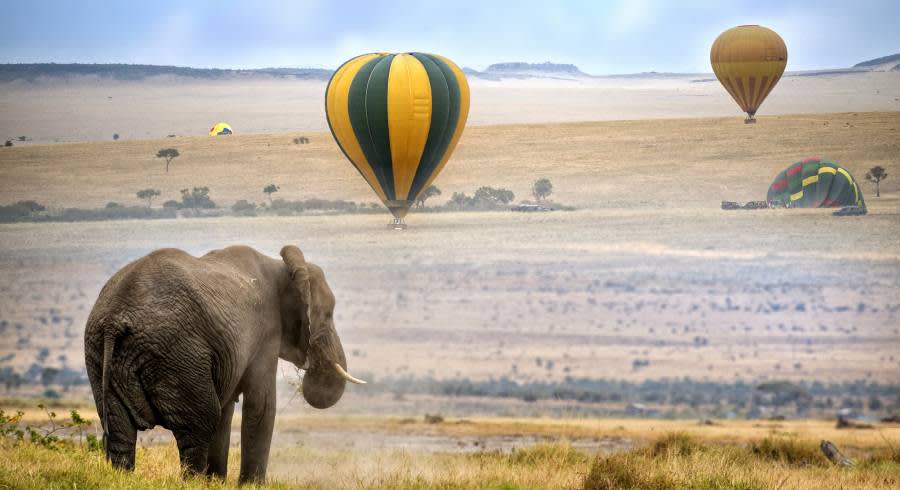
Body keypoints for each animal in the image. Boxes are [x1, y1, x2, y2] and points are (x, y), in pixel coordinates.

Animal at [83, 245, 366, 482]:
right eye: (328, 314)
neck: (281, 266)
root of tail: (114, 320)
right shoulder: (265, 332)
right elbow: (261, 405)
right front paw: (251, 486)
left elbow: (228, 407)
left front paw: (216, 482)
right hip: (177, 354)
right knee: (200, 422)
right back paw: (193, 482)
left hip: (100, 356)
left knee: (120, 430)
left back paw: (124, 478)